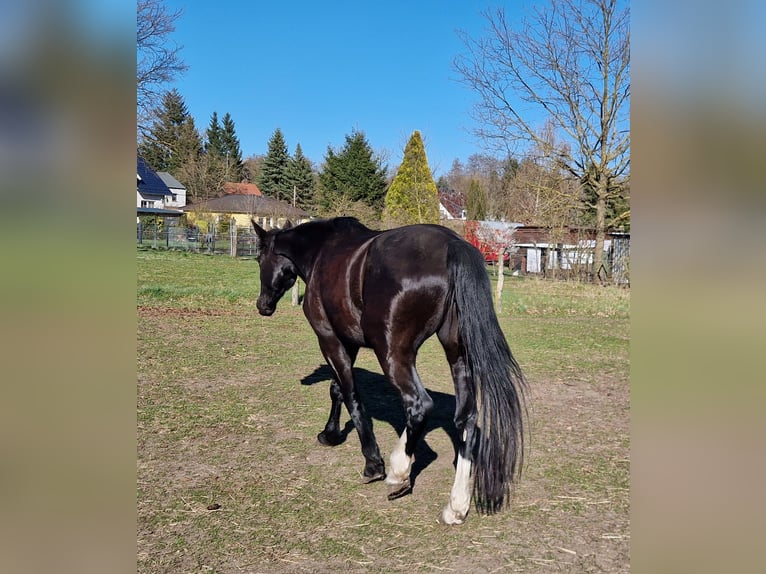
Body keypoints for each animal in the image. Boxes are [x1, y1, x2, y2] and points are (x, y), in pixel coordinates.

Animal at [251, 216, 527, 524]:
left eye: (259, 258)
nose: (262, 305)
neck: (322, 251)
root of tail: (452, 245)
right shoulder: (348, 341)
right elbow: (337, 389)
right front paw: (331, 434)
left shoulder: (329, 339)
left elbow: (351, 396)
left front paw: (372, 462)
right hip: (458, 357)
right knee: (465, 419)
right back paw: (456, 504)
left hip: (392, 354)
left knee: (419, 405)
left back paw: (398, 470)